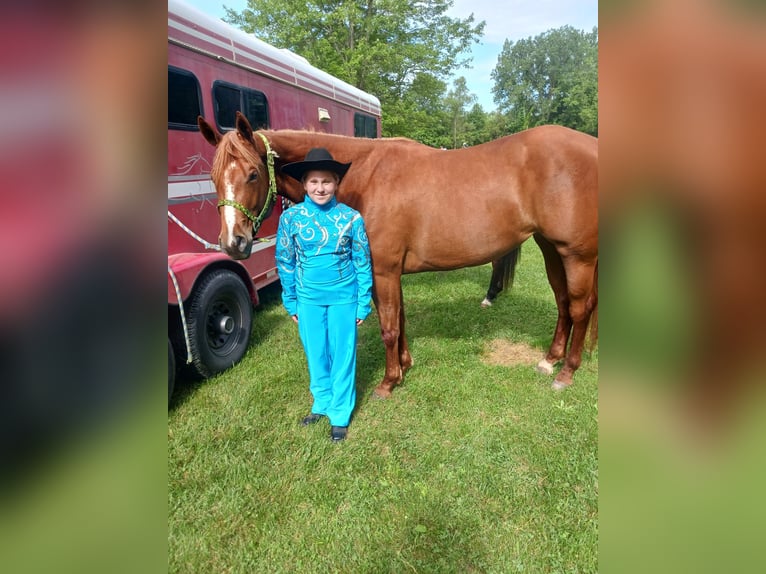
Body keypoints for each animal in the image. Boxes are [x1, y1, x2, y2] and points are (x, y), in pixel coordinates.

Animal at [198, 112, 598, 398]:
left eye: (252, 174)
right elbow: (401, 320)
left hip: (577, 255)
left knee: (580, 307)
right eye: (214, 177)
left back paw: (566, 372)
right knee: (564, 303)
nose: (233, 243)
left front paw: (388, 382)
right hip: (551, 249)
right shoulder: (389, 272)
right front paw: (405, 365)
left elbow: (389, 327)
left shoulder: (383, 271)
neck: (364, 175)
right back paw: (550, 360)